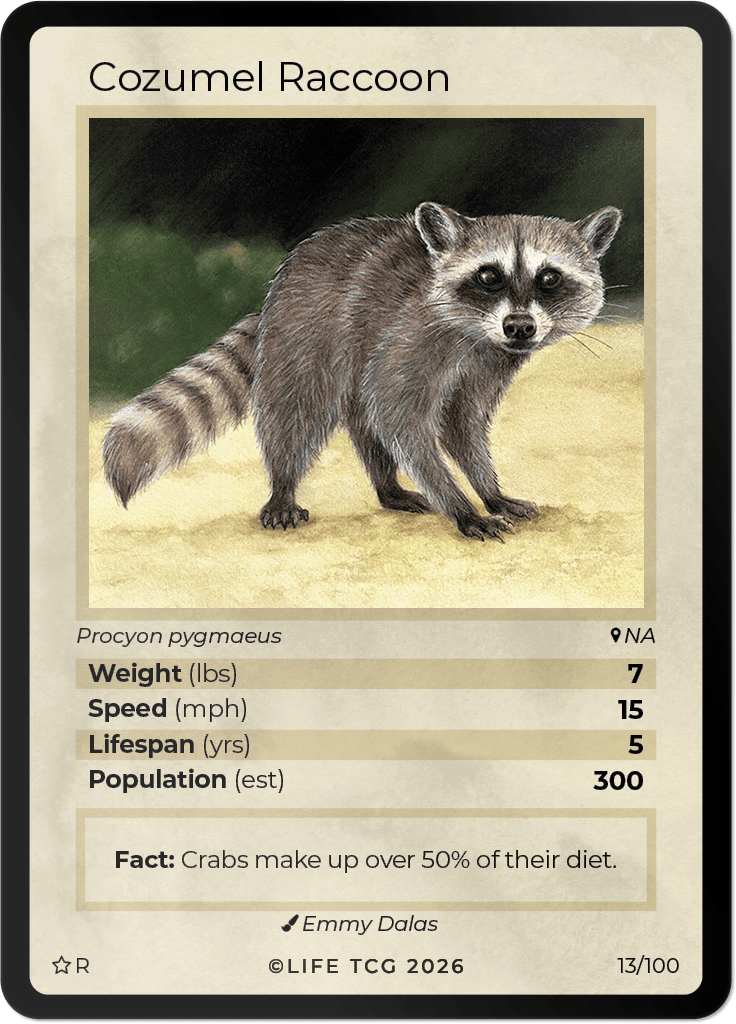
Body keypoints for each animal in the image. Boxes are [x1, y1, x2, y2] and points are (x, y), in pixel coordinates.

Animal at [103, 202, 621, 540]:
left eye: (549, 277)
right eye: (489, 275)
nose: (520, 327)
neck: (476, 334)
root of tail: (286, 273)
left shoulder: (489, 361)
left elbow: (460, 424)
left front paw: (489, 490)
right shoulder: (412, 335)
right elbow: (401, 417)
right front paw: (460, 505)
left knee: (363, 415)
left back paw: (387, 487)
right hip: (308, 329)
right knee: (298, 409)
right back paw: (283, 485)